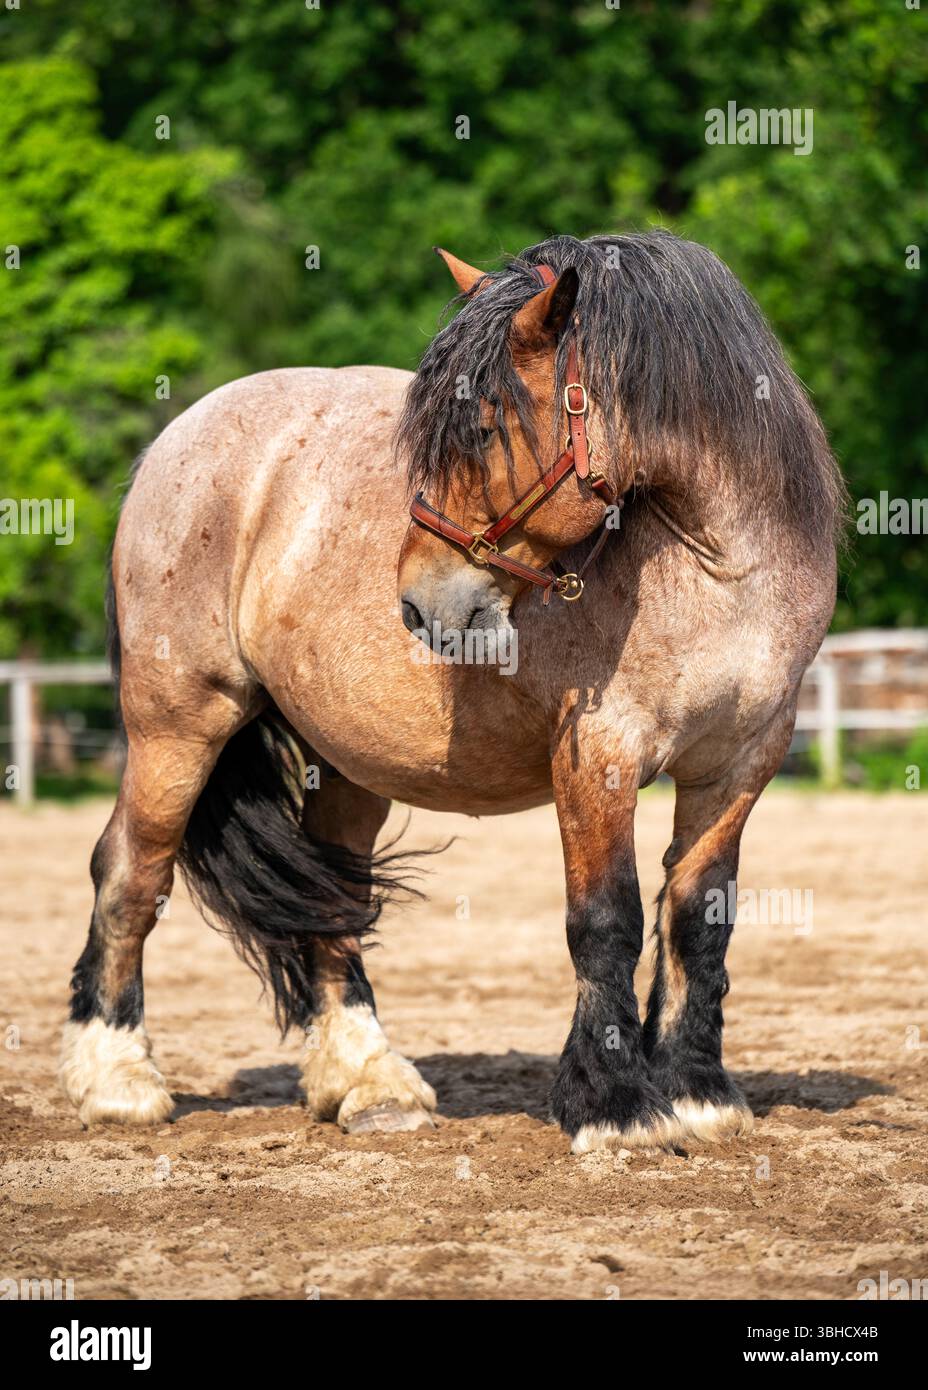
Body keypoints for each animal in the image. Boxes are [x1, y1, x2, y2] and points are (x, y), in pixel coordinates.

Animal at [60, 231, 843, 1152]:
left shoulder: (738, 765)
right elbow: (606, 920)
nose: (420, 604)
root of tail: (173, 444)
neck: (717, 568)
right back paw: (116, 1080)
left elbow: (697, 917)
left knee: (332, 899)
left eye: (486, 425)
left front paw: (697, 1093)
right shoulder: (598, 757)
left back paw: (368, 1083)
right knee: (130, 871)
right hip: (179, 725)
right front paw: (615, 1106)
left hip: (344, 761)